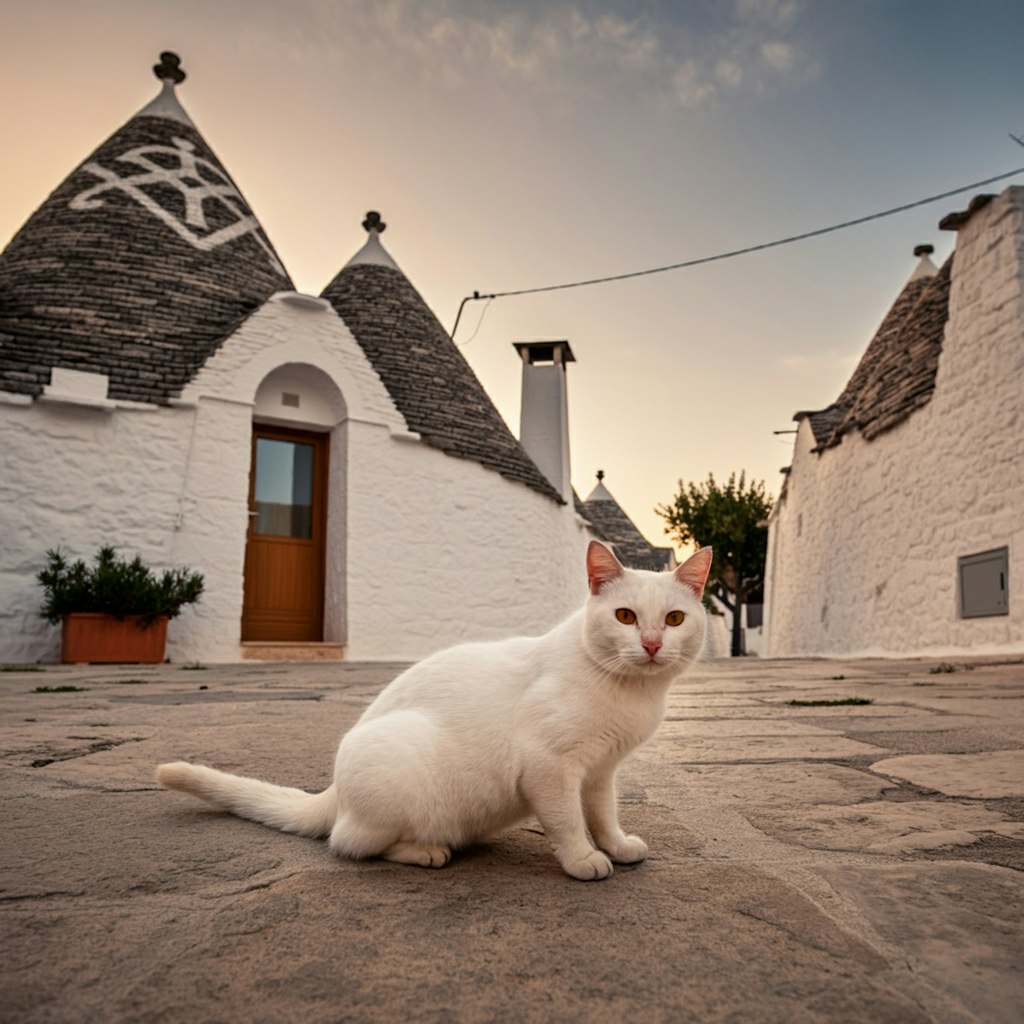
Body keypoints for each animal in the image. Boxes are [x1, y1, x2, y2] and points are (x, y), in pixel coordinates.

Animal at [155, 540, 712, 884]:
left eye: (674, 619)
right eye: (625, 616)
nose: (652, 644)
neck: (632, 695)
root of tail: (333, 792)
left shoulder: (599, 772)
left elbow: (602, 815)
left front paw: (615, 846)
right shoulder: (550, 768)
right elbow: (568, 822)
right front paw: (583, 860)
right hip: (400, 767)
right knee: (347, 841)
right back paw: (426, 851)